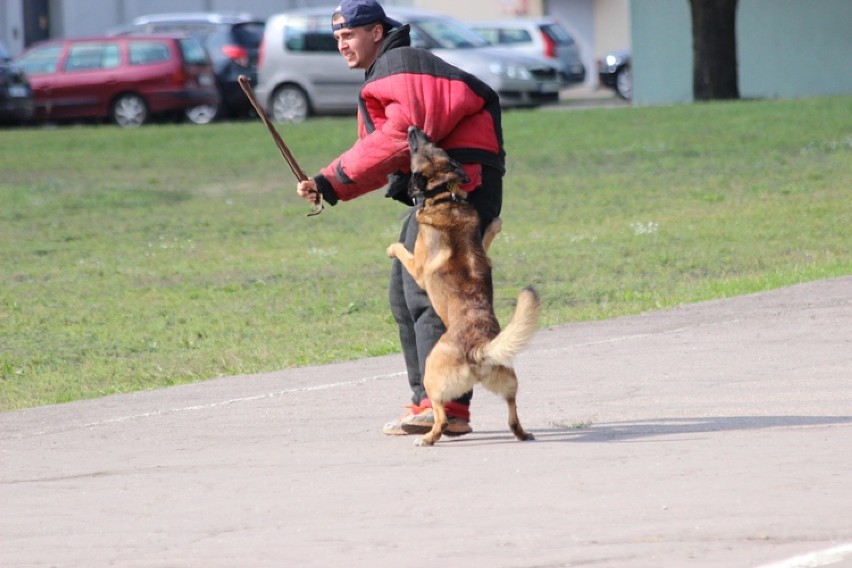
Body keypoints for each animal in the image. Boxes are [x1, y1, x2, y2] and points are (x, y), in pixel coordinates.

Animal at [386, 126, 540, 446]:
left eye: (417, 149)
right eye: (432, 145)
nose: (414, 128)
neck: (445, 196)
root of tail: (479, 349)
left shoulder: (418, 269)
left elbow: (404, 252)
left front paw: (392, 248)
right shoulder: (484, 251)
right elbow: (487, 236)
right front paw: (496, 224)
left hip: (432, 376)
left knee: (441, 416)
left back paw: (427, 436)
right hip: (509, 382)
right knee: (512, 412)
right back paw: (521, 433)